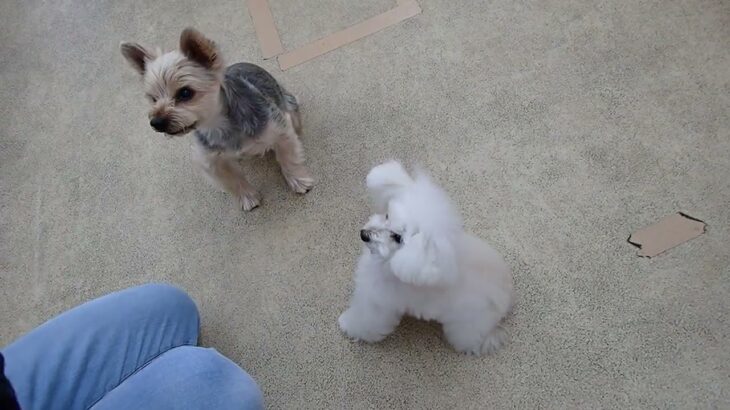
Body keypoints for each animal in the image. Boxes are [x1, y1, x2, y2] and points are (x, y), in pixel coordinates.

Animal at [120, 28, 312, 211]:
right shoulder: (211, 162)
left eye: (185, 93)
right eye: (153, 99)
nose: (157, 123)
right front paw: (247, 197)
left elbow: (289, 158)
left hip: (290, 106)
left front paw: (298, 180)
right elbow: (232, 180)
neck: (218, 124)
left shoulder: (280, 129)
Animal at [336, 162, 512, 354]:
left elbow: (364, 320)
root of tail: (504, 295)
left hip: (467, 324)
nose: (364, 234)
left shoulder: (376, 303)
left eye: (397, 237)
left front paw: (348, 325)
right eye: (387, 215)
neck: (387, 261)